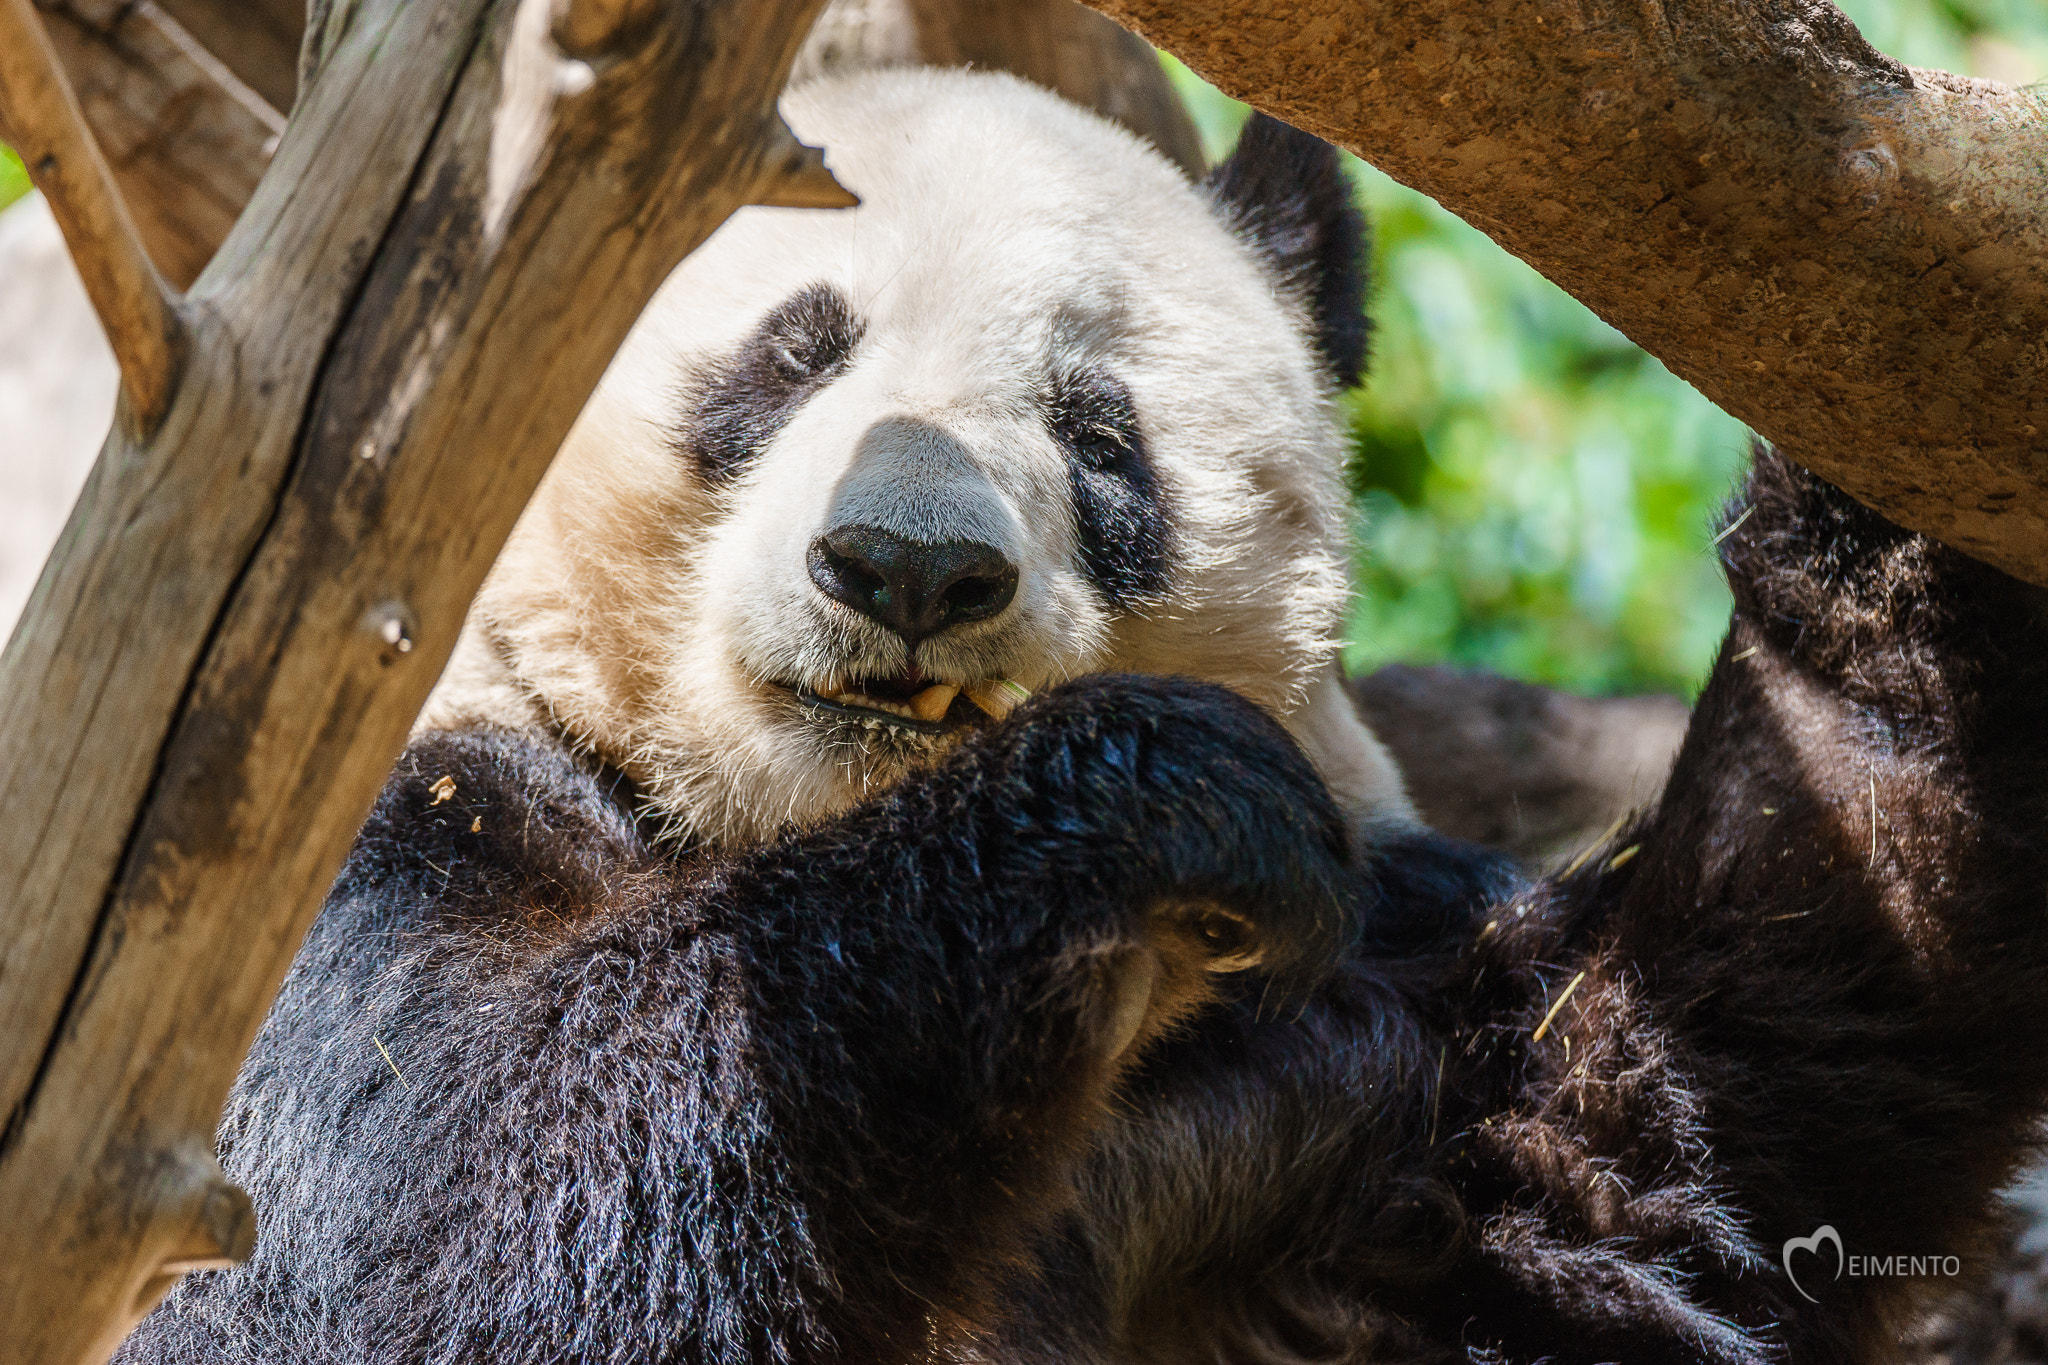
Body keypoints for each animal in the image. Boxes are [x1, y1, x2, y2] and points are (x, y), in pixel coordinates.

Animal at [119, 72, 2048, 1365]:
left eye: (1098, 434)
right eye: (791, 356)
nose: (907, 567)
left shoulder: (1335, 1073)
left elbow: (1680, 1142)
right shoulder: (335, 865)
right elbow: (396, 1255)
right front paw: (1144, 792)